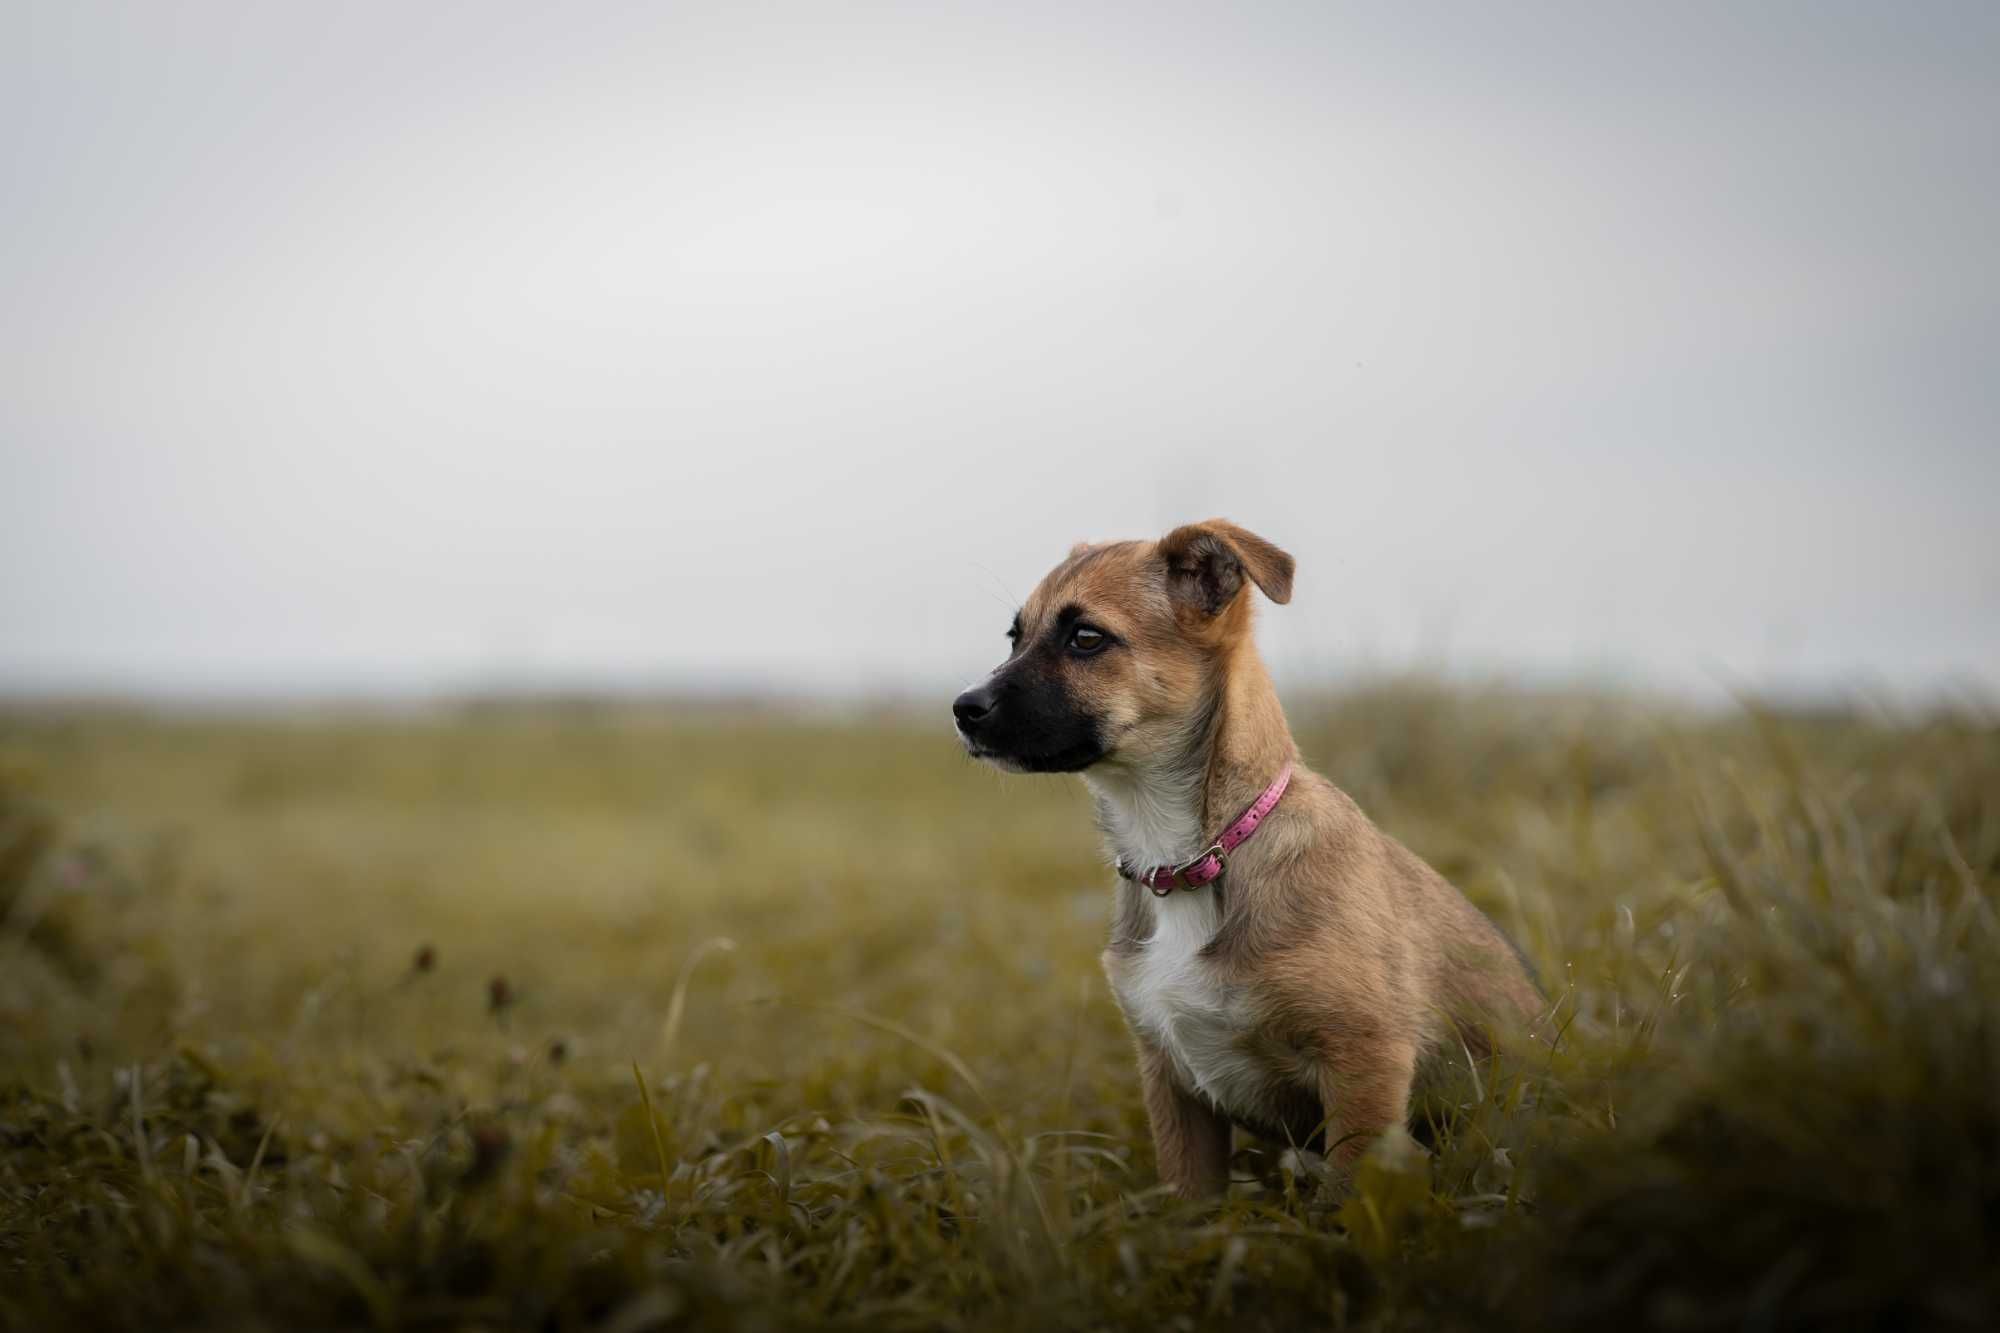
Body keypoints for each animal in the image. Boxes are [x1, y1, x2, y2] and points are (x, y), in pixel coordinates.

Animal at [952, 516, 1544, 1192]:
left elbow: (1349, 1196)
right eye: (1015, 637)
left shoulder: (1365, 1070)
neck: (1193, 858)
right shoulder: (1173, 1087)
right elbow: (1192, 1201)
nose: (963, 709)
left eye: (1085, 638)